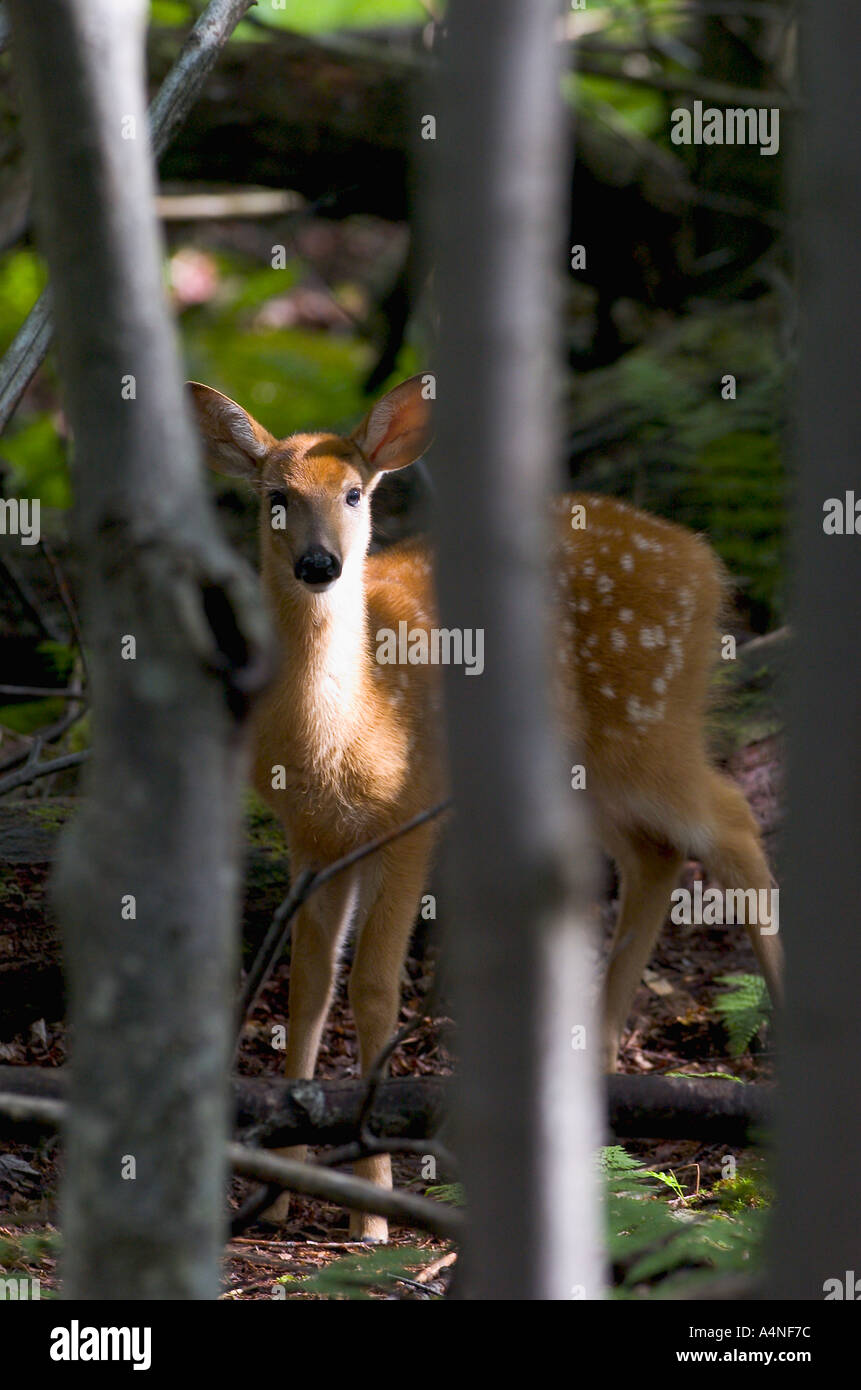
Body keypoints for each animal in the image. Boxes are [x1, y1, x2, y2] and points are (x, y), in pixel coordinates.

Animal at [189, 373, 783, 1242]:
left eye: (355, 493)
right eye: (275, 497)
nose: (318, 563)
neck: (347, 725)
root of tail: (705, 563)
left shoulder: (411, 815)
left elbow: (372, 989)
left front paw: (369, 1209)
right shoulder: (313, 838)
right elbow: (308, 990)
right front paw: (281, 1189)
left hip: (649, 726)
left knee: (732, 820)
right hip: (593, 762)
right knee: (655, 854)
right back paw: (598, 1080)